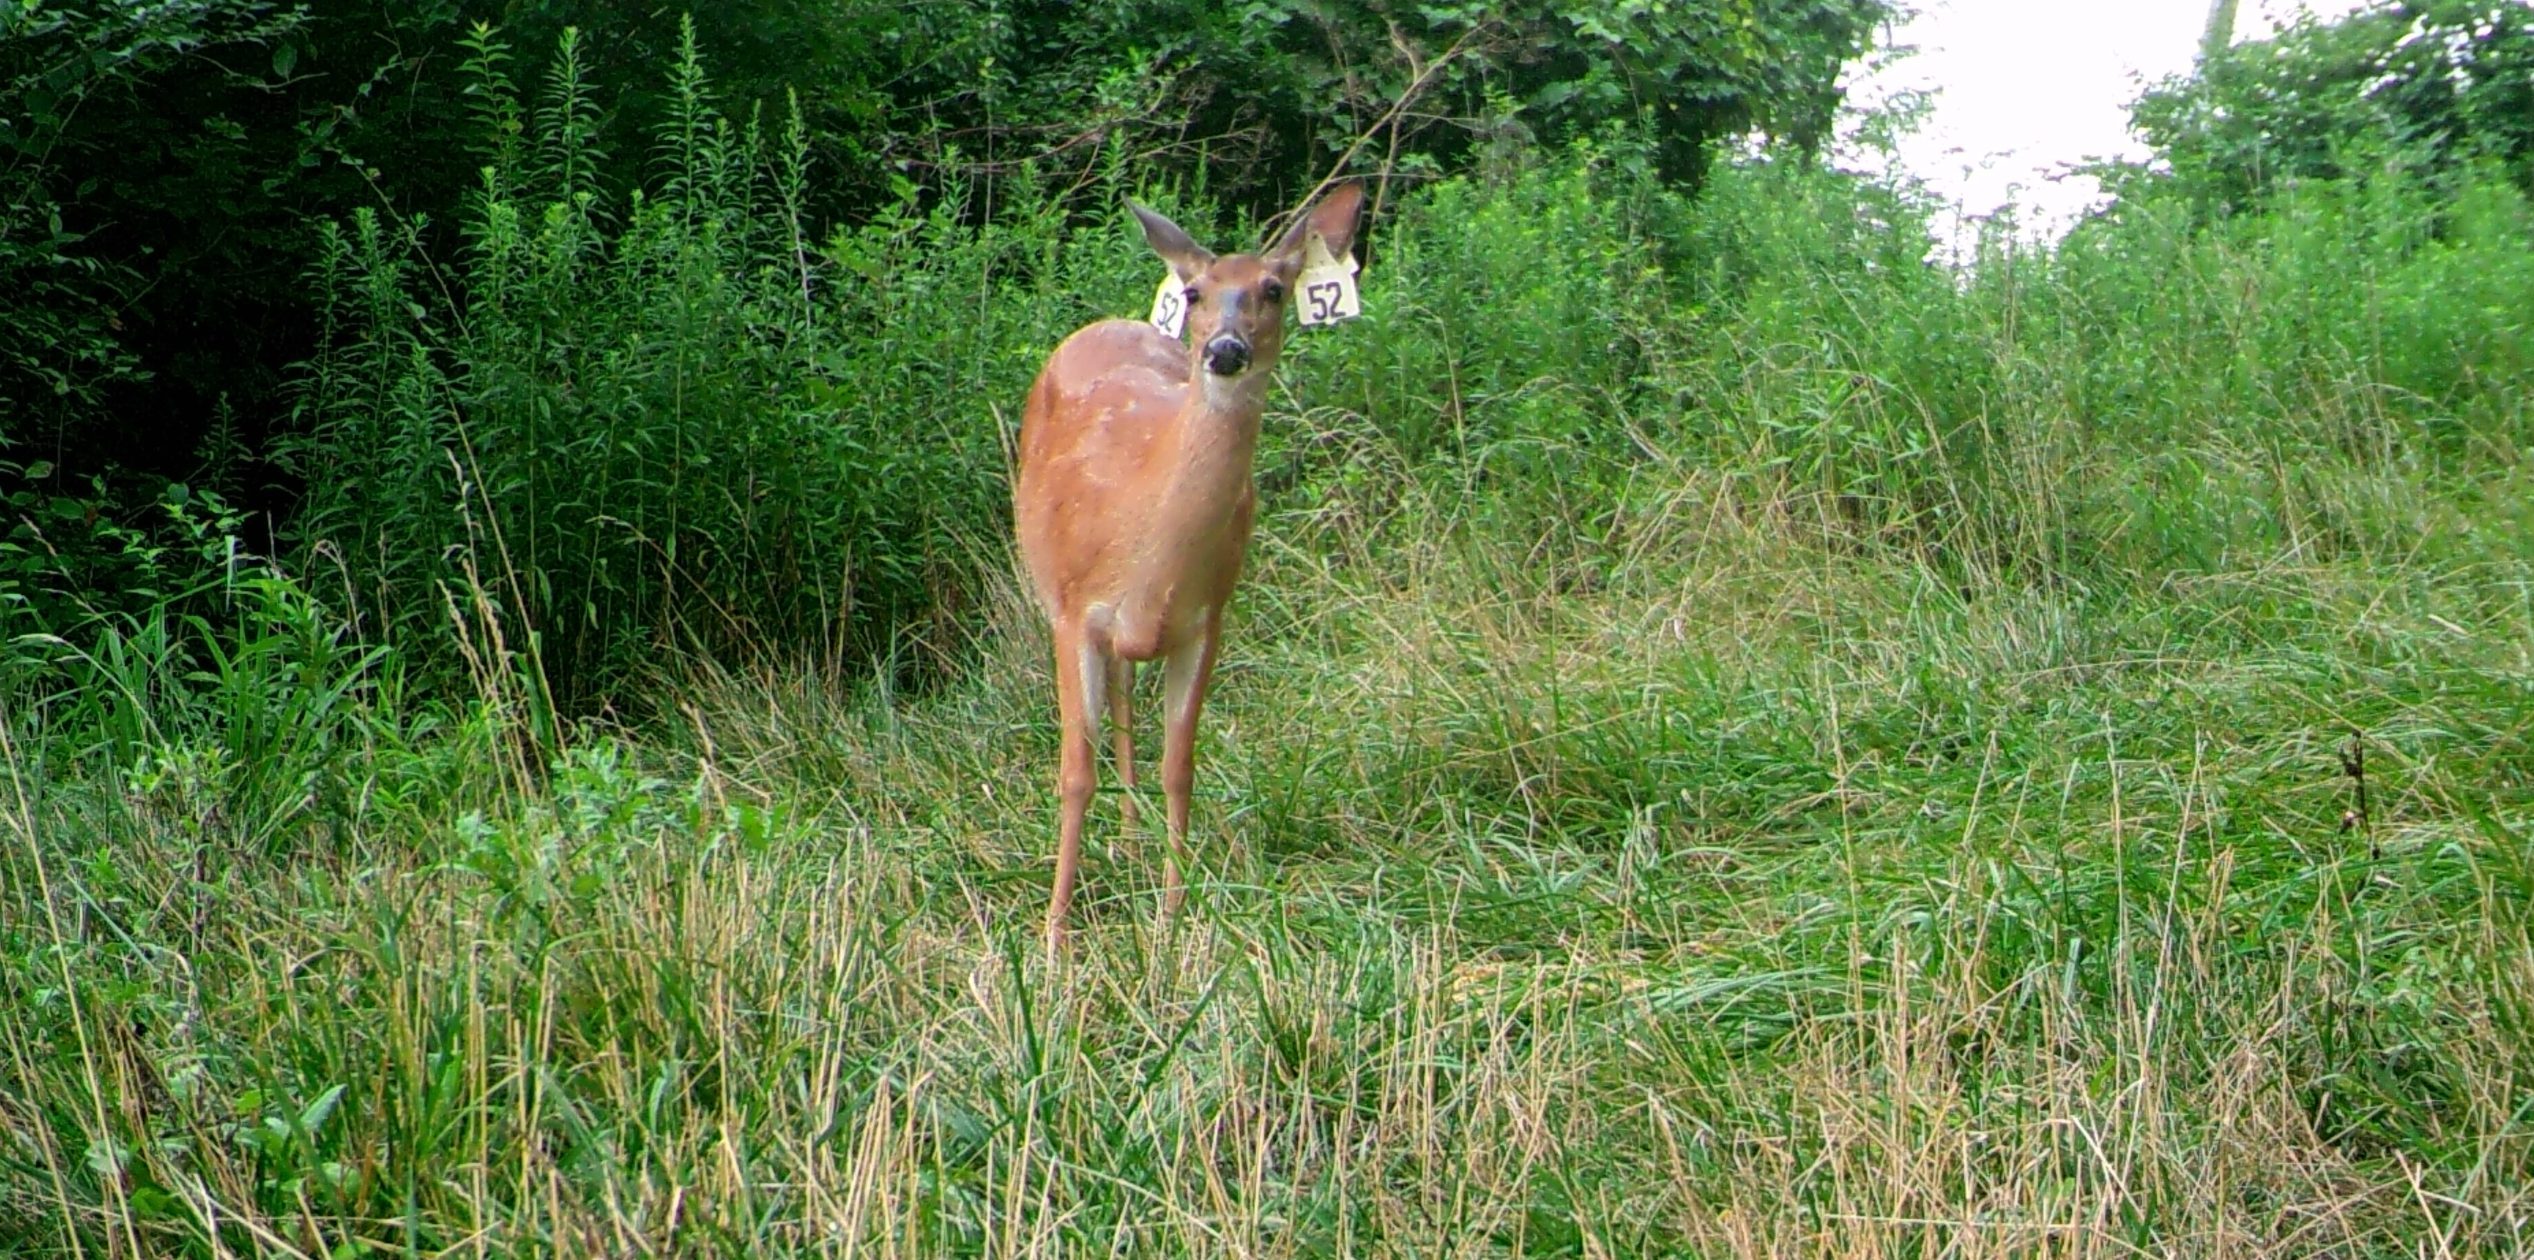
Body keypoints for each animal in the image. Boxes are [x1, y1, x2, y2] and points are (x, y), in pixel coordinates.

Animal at [1013, 178, 1368, 953]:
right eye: (1199, 292)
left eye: (1273, 288)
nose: (1225, 350)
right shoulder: (1073, 610)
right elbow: (1074, 772)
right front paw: (1056, 931)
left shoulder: (1208, 619)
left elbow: (1181, 765)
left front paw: (1173, 918)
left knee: (1125, 693)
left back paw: (1131, 840)